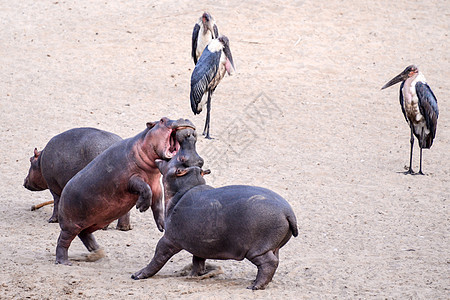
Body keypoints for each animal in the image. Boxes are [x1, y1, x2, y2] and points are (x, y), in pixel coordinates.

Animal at [55, 117, 197, 264]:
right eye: (163, 120)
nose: (184, 118)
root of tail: (63, 193)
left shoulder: (156, 185)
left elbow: (158, 205)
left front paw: (162, 225)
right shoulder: (131, 178)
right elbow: (145, 188)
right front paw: (141, 207)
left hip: (91, 222)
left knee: (85, 235)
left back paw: (98, 252)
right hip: (70, 225)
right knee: (63, 241)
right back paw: (64, 261)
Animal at [131, 146, 298, 290]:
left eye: (180, 158)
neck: (185, 187)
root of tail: (287, 211)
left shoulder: (169, 239)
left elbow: (158, 256)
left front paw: (137, 275)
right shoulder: (198, 243)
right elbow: (197, 261)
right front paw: (193, 276)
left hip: (257, 249)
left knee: (269, 263)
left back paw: (254, 286)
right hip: (273, 247)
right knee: (275, 261)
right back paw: (256, 282)